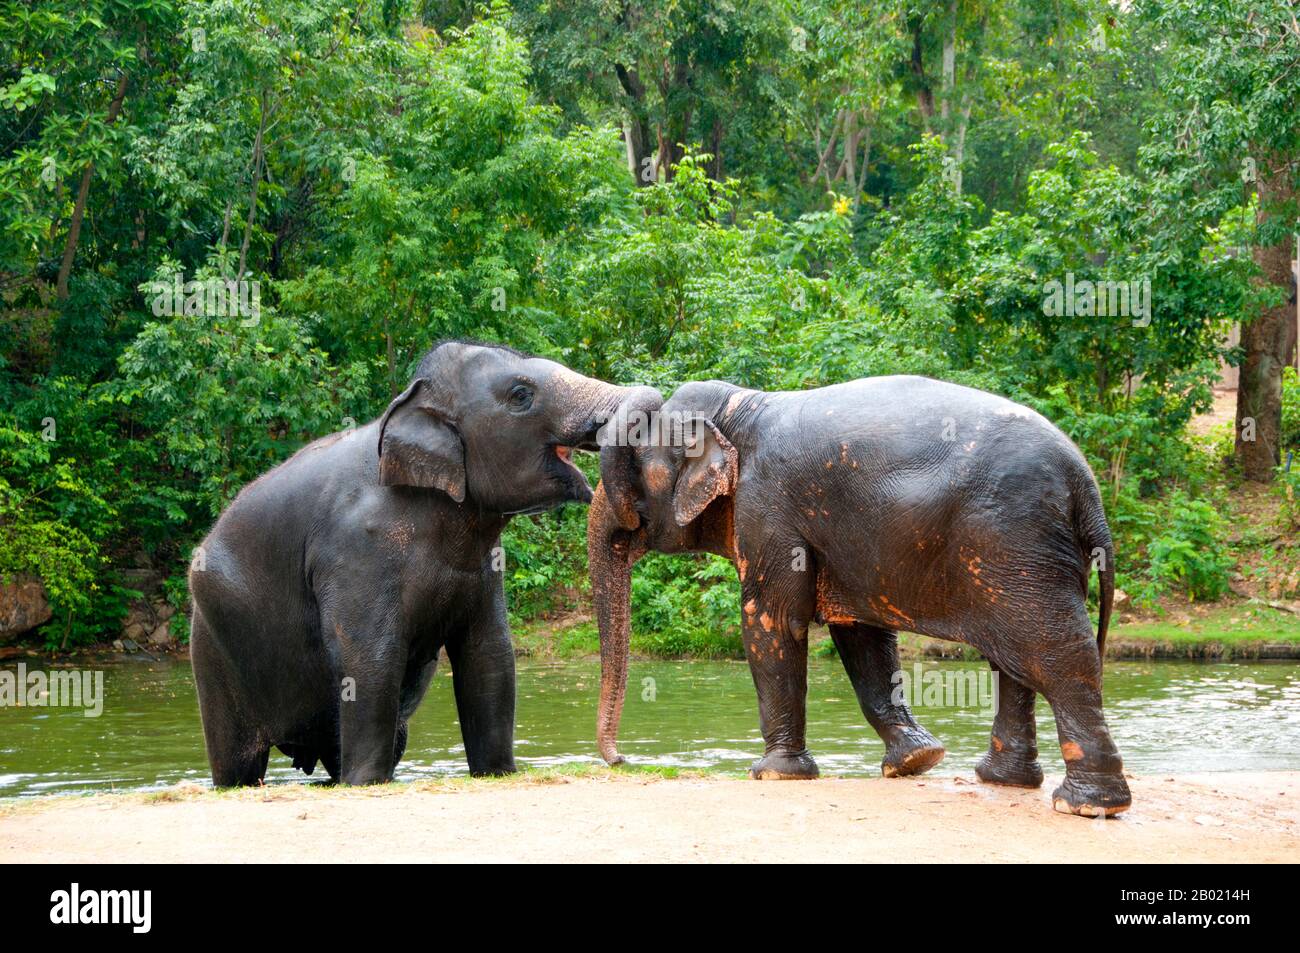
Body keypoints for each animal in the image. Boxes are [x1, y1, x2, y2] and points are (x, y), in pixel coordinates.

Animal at [188, 338, 655, 785]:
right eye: (521, 395)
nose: (620, 759)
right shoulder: (355, 550)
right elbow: (371, 660)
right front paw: (365, 785)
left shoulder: (485, 564)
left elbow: (489, 655)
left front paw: (498, 772)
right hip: (211, 647)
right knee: (236, 760)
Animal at [590, 374, 1128, 816]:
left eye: (632, 469)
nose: (623, 760)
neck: (740, 406)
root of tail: (1086, 483)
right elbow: (862, 635)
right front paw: (914, 762)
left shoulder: (768, 509)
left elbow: (771, 620)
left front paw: (773, 773)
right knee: (1013, 659)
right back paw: (1003, 781)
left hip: (1014, 538)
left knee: (1054, 651)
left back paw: (1085, 805)